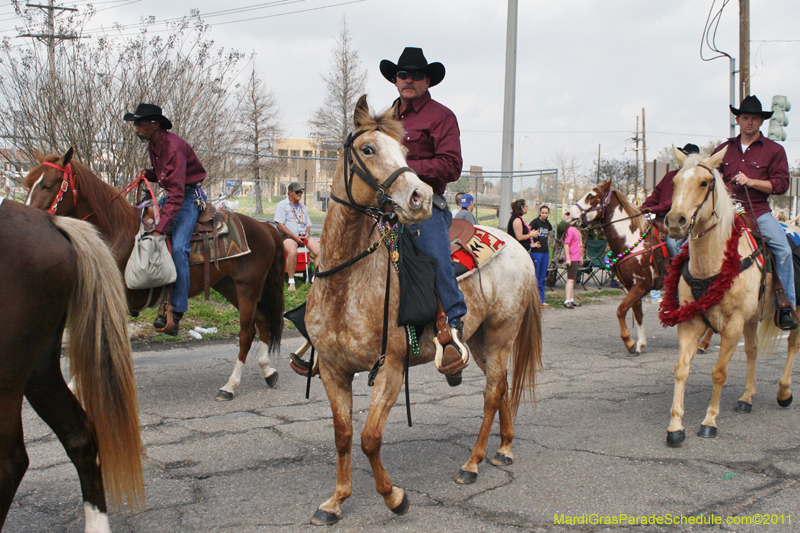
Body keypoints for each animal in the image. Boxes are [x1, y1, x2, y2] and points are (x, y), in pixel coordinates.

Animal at [25, 150, 286, 400]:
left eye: (47, 185)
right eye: (28, 183)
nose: (30, 220)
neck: (116, 234)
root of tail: (264, 227)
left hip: (247, 286)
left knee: (246, 332)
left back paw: (230, 386)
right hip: (228, 285)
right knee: (262, 320)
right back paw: (268, 372)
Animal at [304, 95, 544, 524]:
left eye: (405, 153)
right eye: (369, 149)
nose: (418, 198)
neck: (346, 285)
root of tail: (517, 246)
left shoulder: (391, 368)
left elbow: (369, 438)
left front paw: (394, 497)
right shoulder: (333, 371)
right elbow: (343, 436)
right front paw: (335, 501)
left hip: (502, 334)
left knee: (492, 393)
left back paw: (472, 463)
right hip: (477, 341)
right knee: (500, 387)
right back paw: (504, 449)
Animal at [564, 182, 712, 354]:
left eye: (591, 196)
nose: (567, 214)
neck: (632, 241)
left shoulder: (642, 285)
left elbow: (621, 310)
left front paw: (629, 342)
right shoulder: (631, 286)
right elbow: (637, 313)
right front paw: (640, 343)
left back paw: (703, 343)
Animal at [660, 147, 796, 444]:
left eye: (704, 183)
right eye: (674, 182)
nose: (676, 221)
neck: (710, 265)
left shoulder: (733, 324)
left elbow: (719, 373)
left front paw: (709, 421)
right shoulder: (690, 322)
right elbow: (681, 369)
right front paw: (675, 426)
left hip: (794, 311)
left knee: (793, 345)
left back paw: (784, 391)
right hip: (752, 319)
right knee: (753, 350)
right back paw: (747, 398)